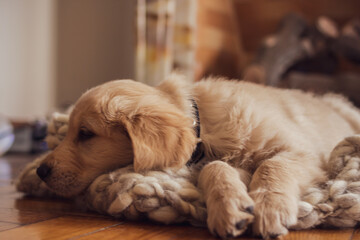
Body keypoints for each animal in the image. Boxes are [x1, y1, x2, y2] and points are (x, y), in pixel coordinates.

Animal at [35, 74, 360, 239]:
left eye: (85, 134)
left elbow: (273, 165)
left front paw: (271, 207)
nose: (41, 171)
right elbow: (213, 168)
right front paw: (230, 207)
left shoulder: (304, 152)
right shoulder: (226, 161)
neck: (204, 121)